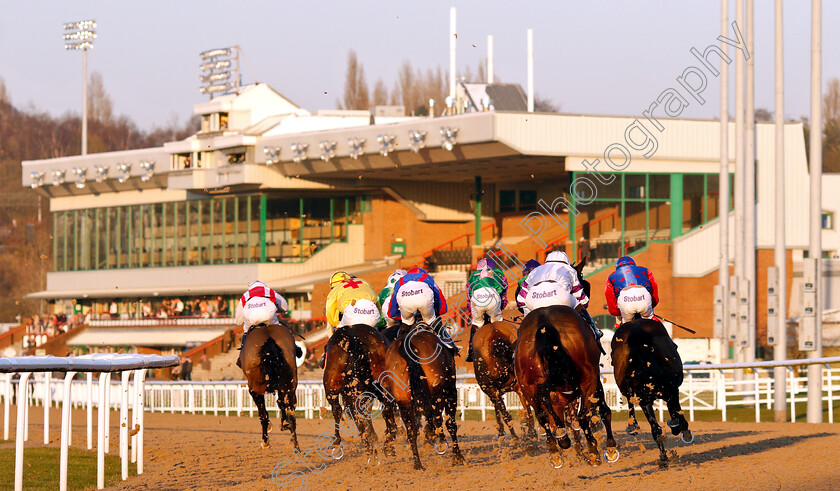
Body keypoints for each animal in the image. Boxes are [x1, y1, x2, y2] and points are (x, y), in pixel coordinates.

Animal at [238, 324, 300, 452]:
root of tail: (269, 339)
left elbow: (265, 414)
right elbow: (281, 403)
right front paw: (284, 423)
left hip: (256, 390)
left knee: (264, 416)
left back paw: (265, 441)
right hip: (290, 385)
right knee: (291, 413)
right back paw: (295, 445)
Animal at [324, 324, 398, 464]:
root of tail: (353, 339)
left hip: (333, 388)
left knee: (339, 410)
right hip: (381, 384)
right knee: (386, 409)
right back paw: (386, 444)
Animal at [382, 324, 466, 470]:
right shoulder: (450, 391)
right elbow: (449, 423)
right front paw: (457, 457)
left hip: (404, 400)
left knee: (411, 429)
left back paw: (417, 463)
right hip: (439, 391)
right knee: (438, 418)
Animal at [512, 306, 616, 468]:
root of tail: (544, 323)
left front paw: (563, 440)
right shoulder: (593, 381)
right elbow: (604, 410)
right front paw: (610, 448)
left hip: (528, 385)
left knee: (542, 414)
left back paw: (556, 449)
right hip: (587, 378)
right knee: (582, 416)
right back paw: (593, 452)